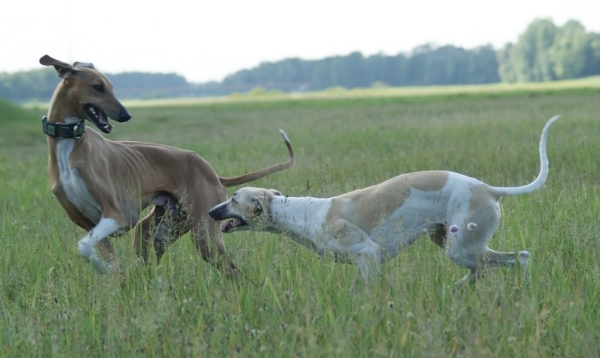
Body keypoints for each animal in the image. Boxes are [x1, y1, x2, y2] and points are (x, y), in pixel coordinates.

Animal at [209, 116, 560, 286]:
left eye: (234, 198)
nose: (211, 211)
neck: (303, 213)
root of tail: (490, 189)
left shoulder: (369, 255)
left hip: (462, 247)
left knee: (520, 258)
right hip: (453, 243)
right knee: (485, 270)